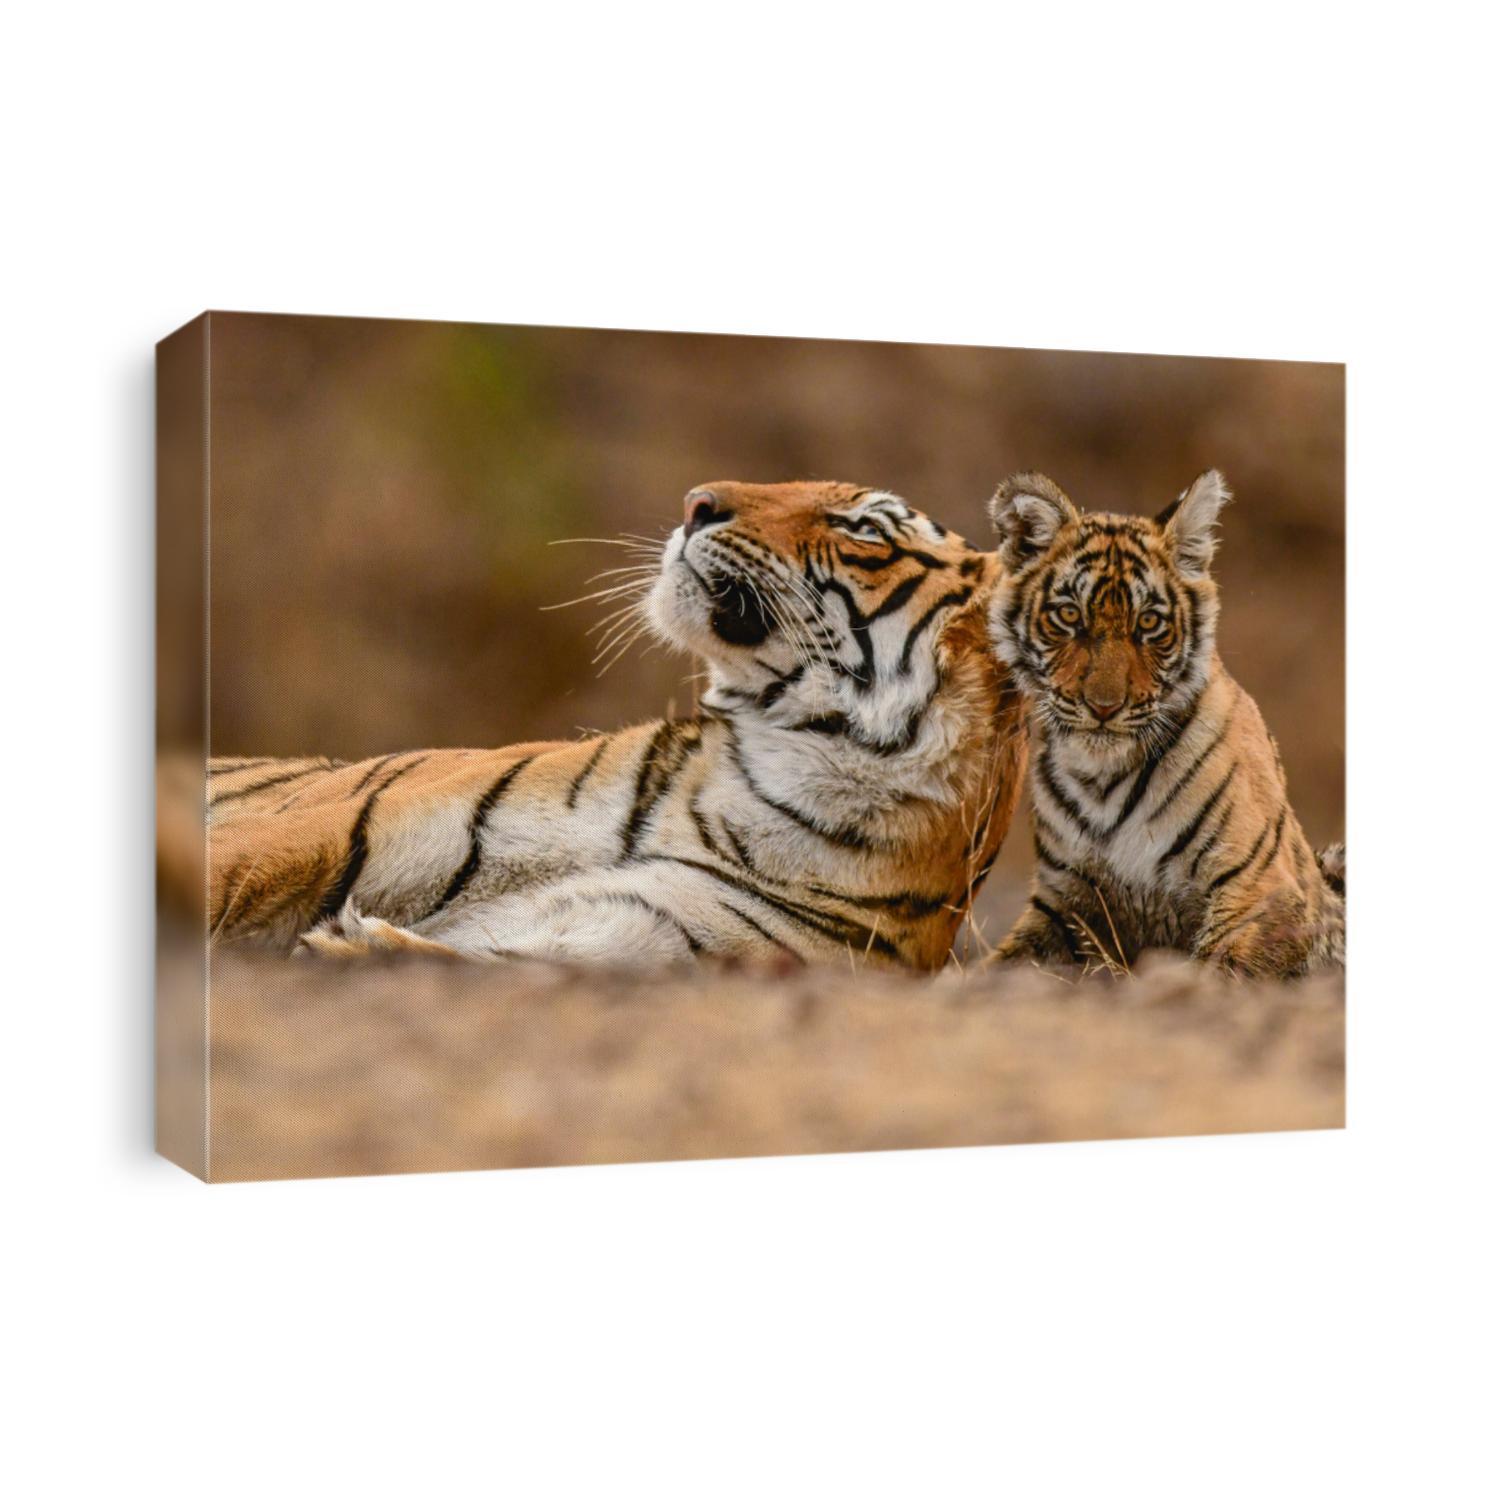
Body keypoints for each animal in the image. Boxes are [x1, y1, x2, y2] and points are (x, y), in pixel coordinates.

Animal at [983, 468, 1344, 978]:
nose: (1104, 707)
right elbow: (997, 965)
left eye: (1150, 623)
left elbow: (1222, 968)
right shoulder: (1064, 901)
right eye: (1069, 615)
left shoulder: (1261, 888)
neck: (1101, 779)